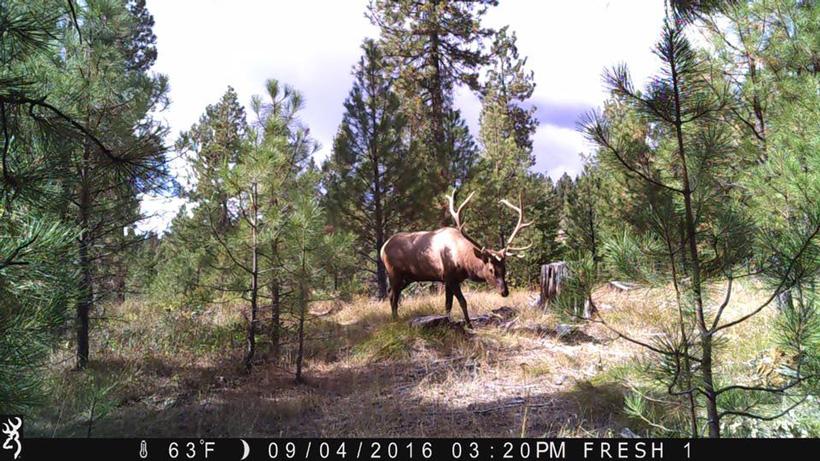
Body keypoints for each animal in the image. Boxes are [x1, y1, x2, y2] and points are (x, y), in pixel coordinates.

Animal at [379, 190, 532, 328]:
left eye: (504, 268)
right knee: (393, 295)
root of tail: (382, 248)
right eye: (491, 269)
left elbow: (448, 304)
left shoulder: (449, 280)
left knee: (392, 293)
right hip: (394, 273)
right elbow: (462, 301)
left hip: (407, 278)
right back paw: (395, 319)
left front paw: (448, 321)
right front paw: (469, 325)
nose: (504, 292)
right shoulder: (449, 277)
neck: (462, 262)